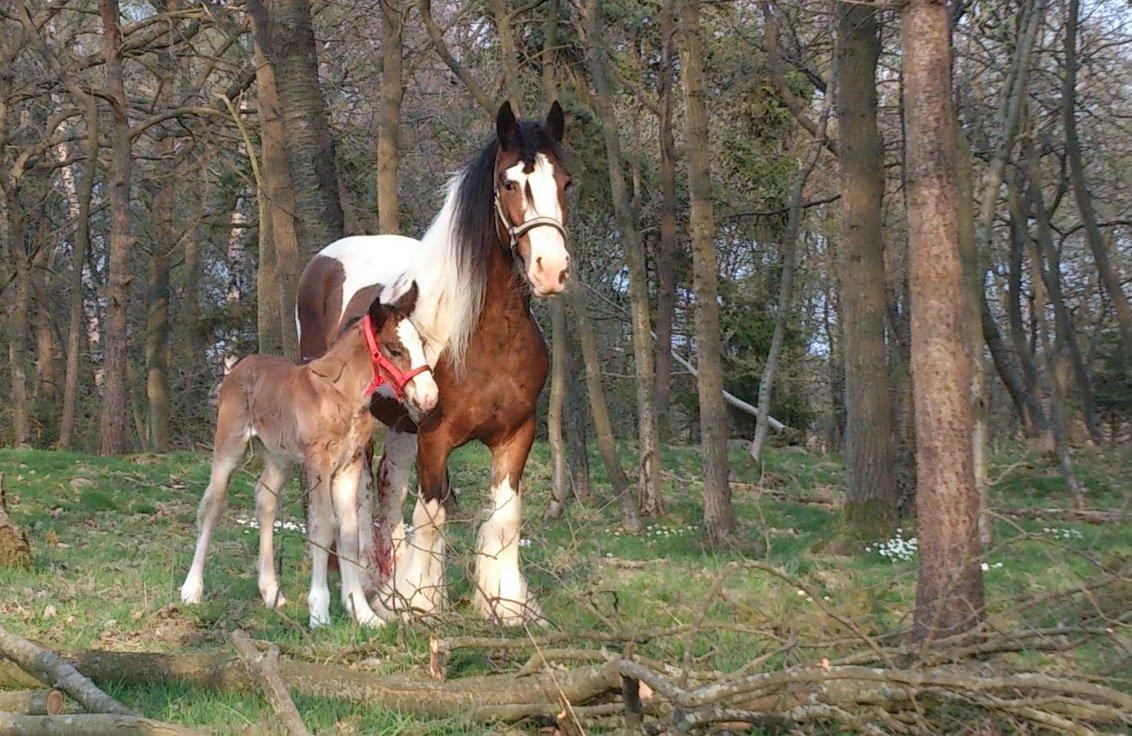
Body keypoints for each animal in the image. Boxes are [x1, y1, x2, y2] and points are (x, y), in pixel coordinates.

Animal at [179, 280, 436, 625]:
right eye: (394, 349)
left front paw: (362, 612)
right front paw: (319, 612)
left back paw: (271, 593)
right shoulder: (319, 461)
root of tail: (241, 366)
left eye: (421, 342)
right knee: (212, 505)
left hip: (280, 458)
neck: (341, 395)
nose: (430, 396)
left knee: (266, 501)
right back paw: (192, 589)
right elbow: (323, 525)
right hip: (229, 446)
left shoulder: (349, 464)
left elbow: (349, 532)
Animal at [296, 100, 570, 620]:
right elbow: (431, 515)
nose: (551, 270)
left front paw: (507, 605)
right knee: (361, 497)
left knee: (388, 489)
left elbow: (504, 518)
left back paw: (383, 586)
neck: (486, 336)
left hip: (401, 429)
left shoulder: (516, 435)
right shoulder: (436, 437)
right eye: (510, 182)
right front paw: (421, 602)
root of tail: (324, 261)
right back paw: (366, 584)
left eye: (565, 181)